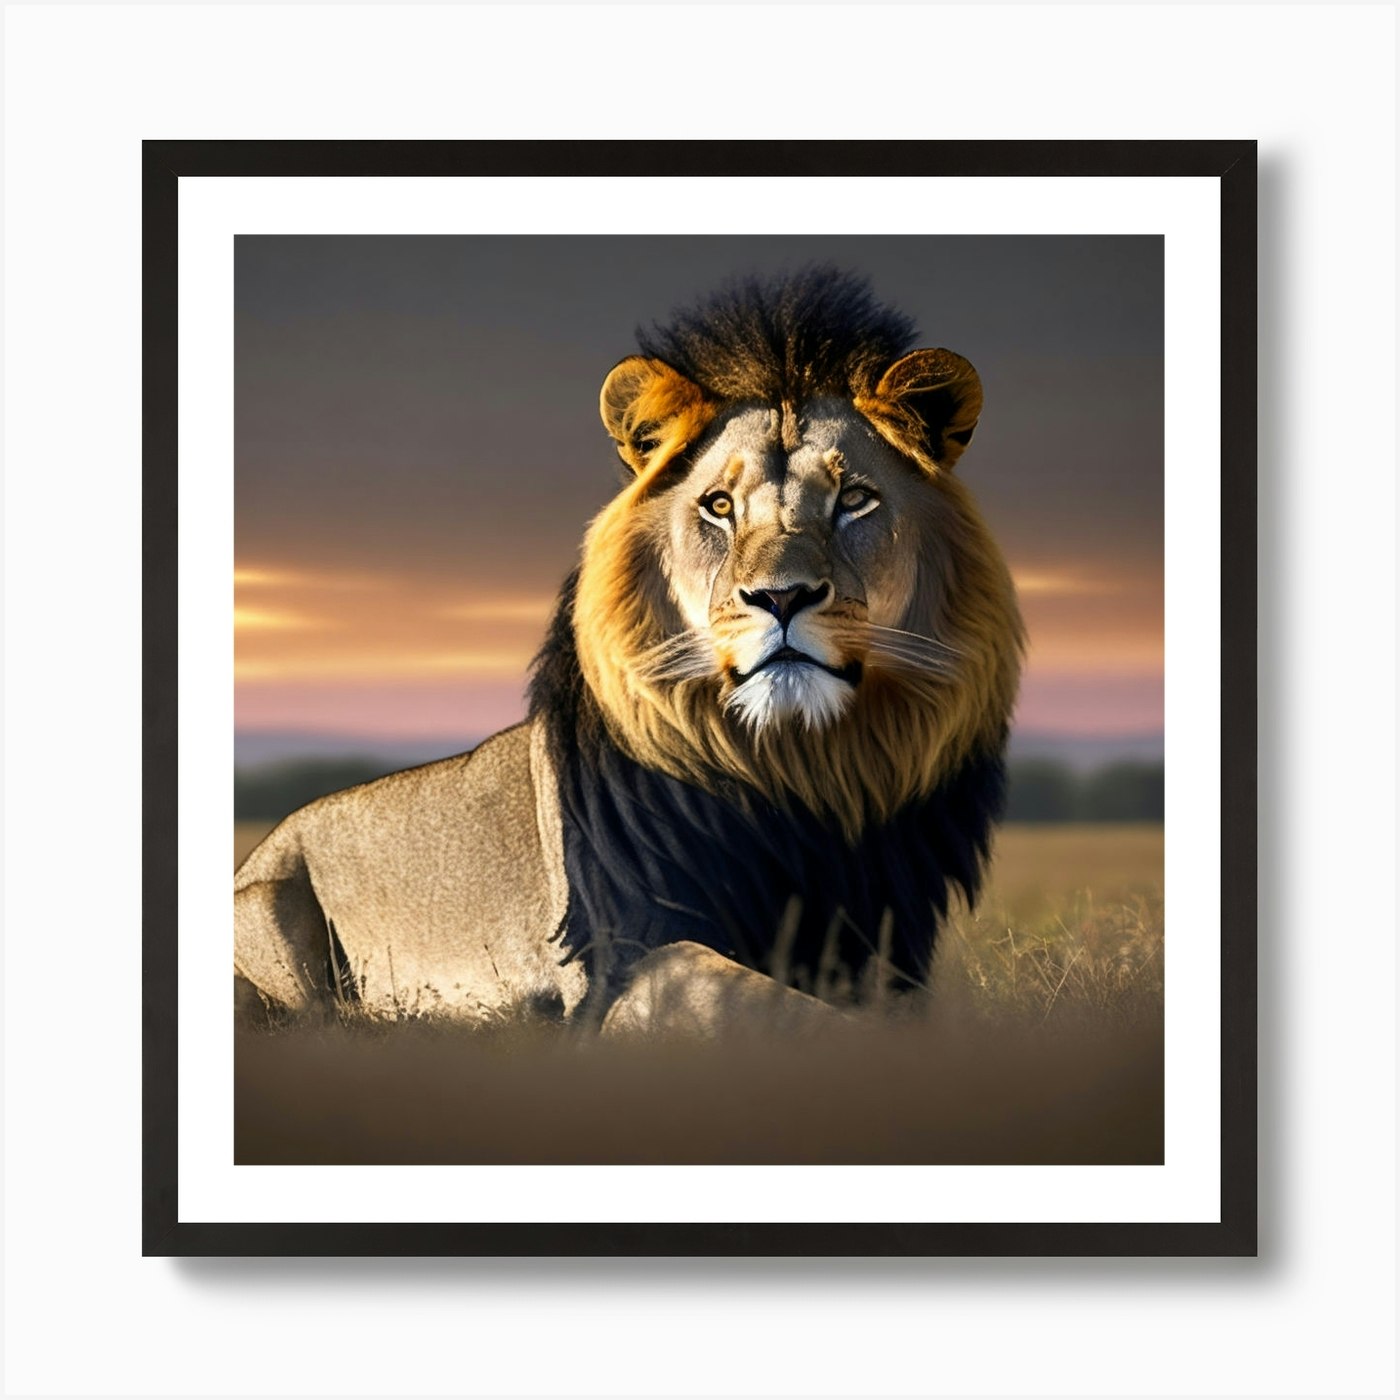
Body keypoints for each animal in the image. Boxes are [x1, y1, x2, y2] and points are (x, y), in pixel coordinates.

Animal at [234, 267, 1023, 1034]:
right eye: (719, 506)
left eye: (854, 499)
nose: (782, 597)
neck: (795, 769)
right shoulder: (620, 954)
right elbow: (772, 1006)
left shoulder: (888, 949)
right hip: (269, 905)